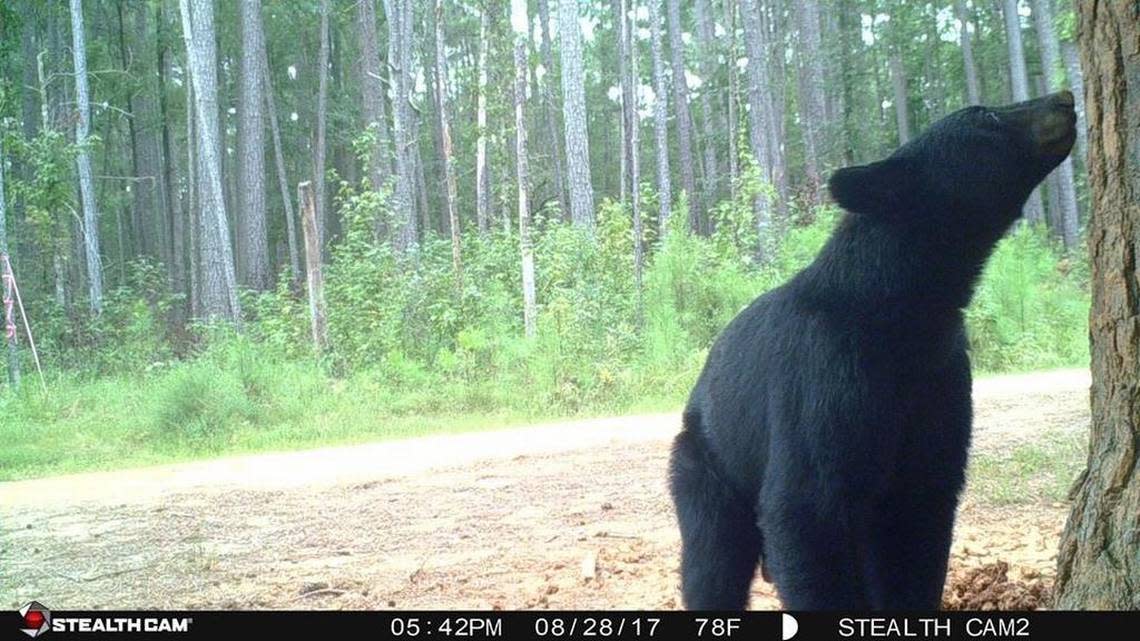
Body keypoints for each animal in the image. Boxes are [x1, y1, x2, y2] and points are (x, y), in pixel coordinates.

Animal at [665, 91, 1076, 606]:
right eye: (985, 117)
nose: (1065, 97)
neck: (900, 315)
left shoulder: (938, 381)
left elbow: (920, 524)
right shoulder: (824, 378)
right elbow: (804, 511)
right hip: (710, 467)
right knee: (711, 562)